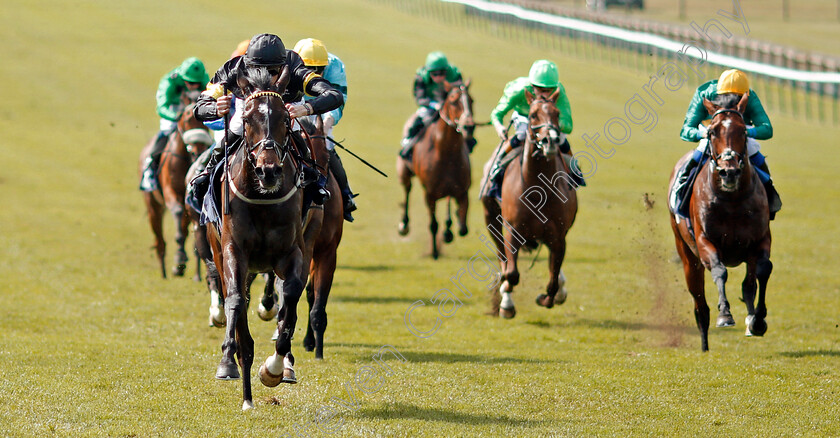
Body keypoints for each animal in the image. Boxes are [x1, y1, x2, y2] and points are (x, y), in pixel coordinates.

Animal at [139, 93, 212, 278]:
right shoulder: (171, 191)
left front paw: (181, 262)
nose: (198, 148)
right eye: (186, 119)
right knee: (159, 240)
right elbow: (178, 214)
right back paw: (164, 272)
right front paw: (179, 258)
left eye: (205, 122)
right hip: (153, 204)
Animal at [205, 66, 306, 408]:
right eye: (247, 119)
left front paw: (273, 368)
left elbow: (291, 296)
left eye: (285, 118)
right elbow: (236, 303)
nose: (269, 171)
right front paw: (238, 378)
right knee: (233, 299)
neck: (261, 198)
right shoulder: (234, 251)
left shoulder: (292, 252)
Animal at [398, 81, 476, 258]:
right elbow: (433, 224)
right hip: (404, 172)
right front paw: (434, 251)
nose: (468, 126)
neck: (447, 153)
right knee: (407, 191)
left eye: (471, 100)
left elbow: (463, 228)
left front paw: (449, 230)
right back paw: (404, 224)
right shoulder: (430, 194)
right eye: (453, 101)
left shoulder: (462, 191)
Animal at [482, 89, 580, 318]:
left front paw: (549, 297)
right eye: (533, 115)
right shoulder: (513, 231)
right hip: (491, 219)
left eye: (557, 113)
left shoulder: (559, 236)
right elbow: (512, 273)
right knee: (503, 259)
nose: (551, 140)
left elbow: (553, 281)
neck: (537, 192)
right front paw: (506, 304)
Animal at [668, 93, 776, 352]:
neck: (732, 200)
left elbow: (763, 270)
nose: (729, 171)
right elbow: (719, 270)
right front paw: (725, 315)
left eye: (743, 131)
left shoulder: (761, 239)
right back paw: (705, 344)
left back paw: (751, 321)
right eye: (712, 132)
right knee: (700, 305)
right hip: (687, 255)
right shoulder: (705, 240)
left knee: (748, 285)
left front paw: (758, 320)